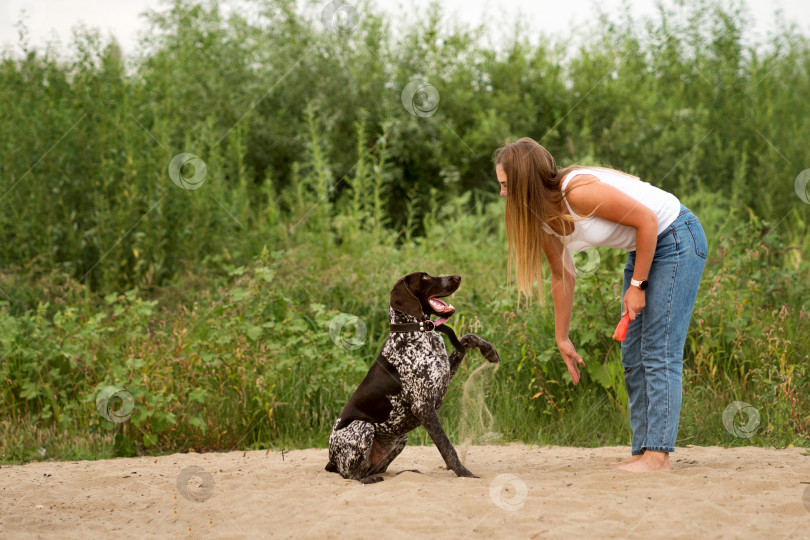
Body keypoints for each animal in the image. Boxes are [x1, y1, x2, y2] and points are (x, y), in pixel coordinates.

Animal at [326, 272, 496, 484]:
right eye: (424, 278)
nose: (457, 277)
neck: (417, 332)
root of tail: (331, 460)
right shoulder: (423, 407)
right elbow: (447, 447)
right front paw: (465, 474)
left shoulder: (443, 377)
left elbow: (467, 337)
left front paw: (489, 351)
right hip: (363, 426)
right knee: (351, 475)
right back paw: (367, 480)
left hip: (401, 439)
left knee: (374, 469)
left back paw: (407, 473)